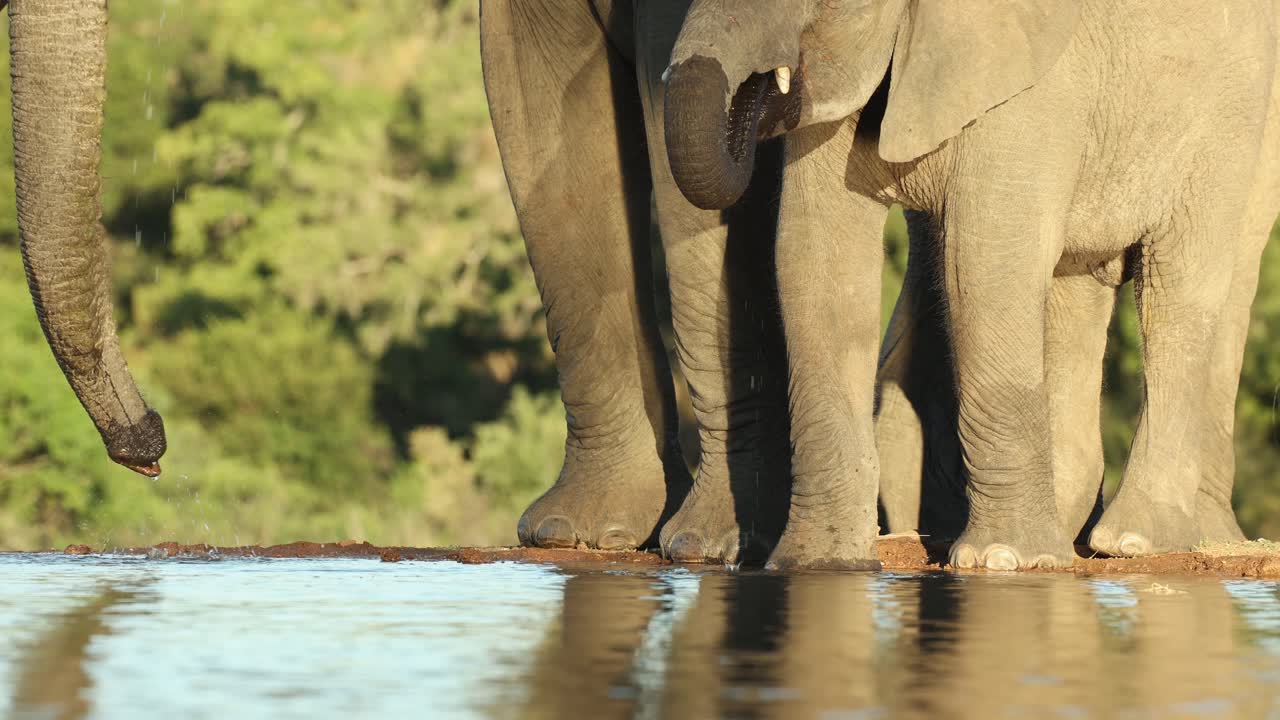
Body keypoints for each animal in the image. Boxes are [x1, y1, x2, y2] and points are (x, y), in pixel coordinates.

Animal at [662, 0, 1280, 569]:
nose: (756, 109)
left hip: (1228, 121)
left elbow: (982, 260)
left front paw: (1002, 560)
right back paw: (1064, 530)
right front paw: (817, 563)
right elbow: (815, 261)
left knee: (1177, 289)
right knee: (1074, 291)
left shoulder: (1024, 85)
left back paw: (1132, 541)